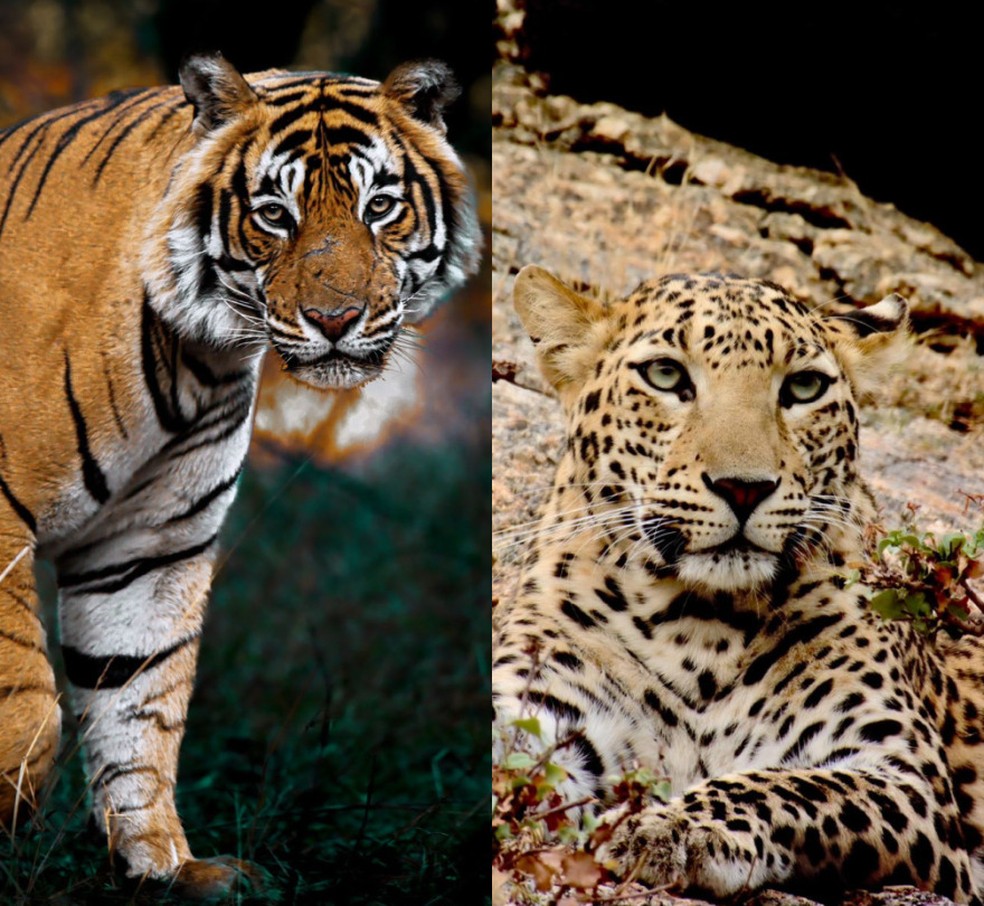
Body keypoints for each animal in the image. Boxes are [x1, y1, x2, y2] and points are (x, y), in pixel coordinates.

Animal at [0, 53, 480, 896]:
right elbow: (26, 704)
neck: (199, 349)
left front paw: (163, 866)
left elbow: (137, 697)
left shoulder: (148, 545)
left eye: (381, 207)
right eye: (275, 214)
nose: (335, 319)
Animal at [492, 266, 984, 903]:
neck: (696, 626)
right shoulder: (540, 709)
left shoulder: (904, 775)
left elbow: (787, 786)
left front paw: (670, 828)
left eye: (803, 387)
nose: (744, 487)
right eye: (666, 375)